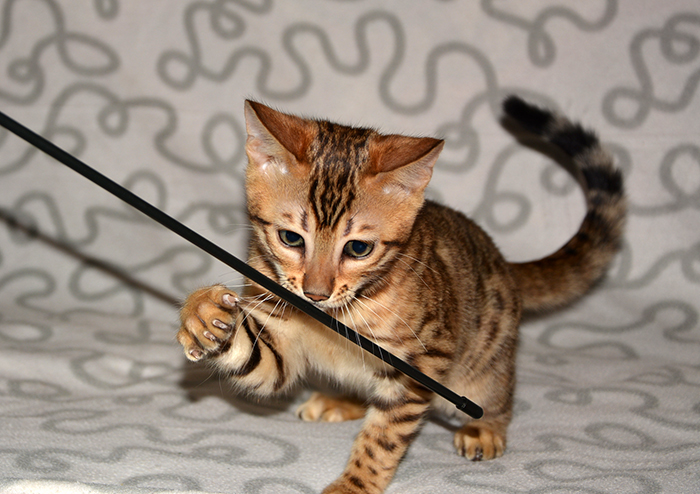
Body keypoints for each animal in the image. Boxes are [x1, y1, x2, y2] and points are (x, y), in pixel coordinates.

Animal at [177, 96, 625, 494]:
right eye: (290, 239)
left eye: (358, 248)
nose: (315, 294)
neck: (340, 316)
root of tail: (503, 262)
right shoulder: (281, 340)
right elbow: (262, 362)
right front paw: (203, 316)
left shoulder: (425, 359)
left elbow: (383, 438)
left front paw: (353, 486)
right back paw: (340, 401)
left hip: (484, 362)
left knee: (497, 393)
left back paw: (485, 428)